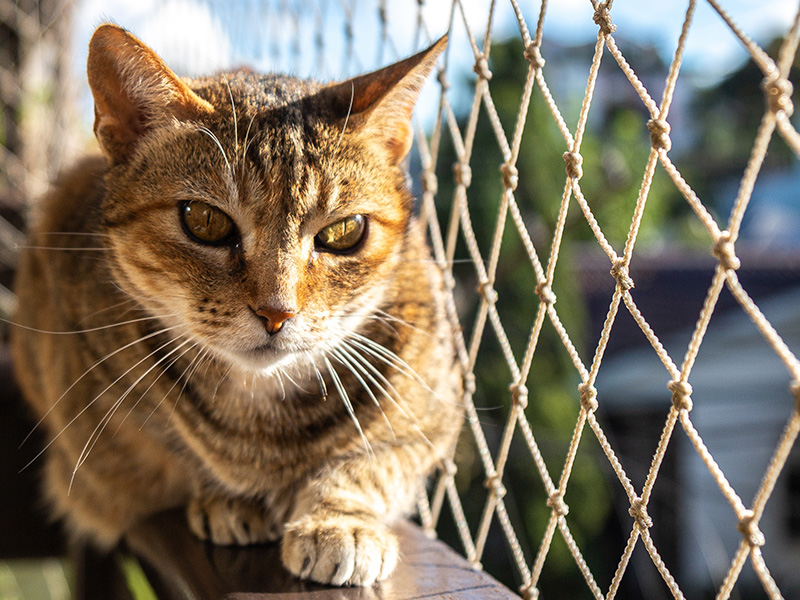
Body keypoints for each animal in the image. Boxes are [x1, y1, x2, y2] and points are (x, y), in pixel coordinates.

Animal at [9, 23, 462, 584]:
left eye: (344, 232)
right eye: (204, 221)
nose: (277, 312)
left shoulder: (435, 409)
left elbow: (373, 463)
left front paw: (339, 522)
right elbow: (172, 449)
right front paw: (225, 498)